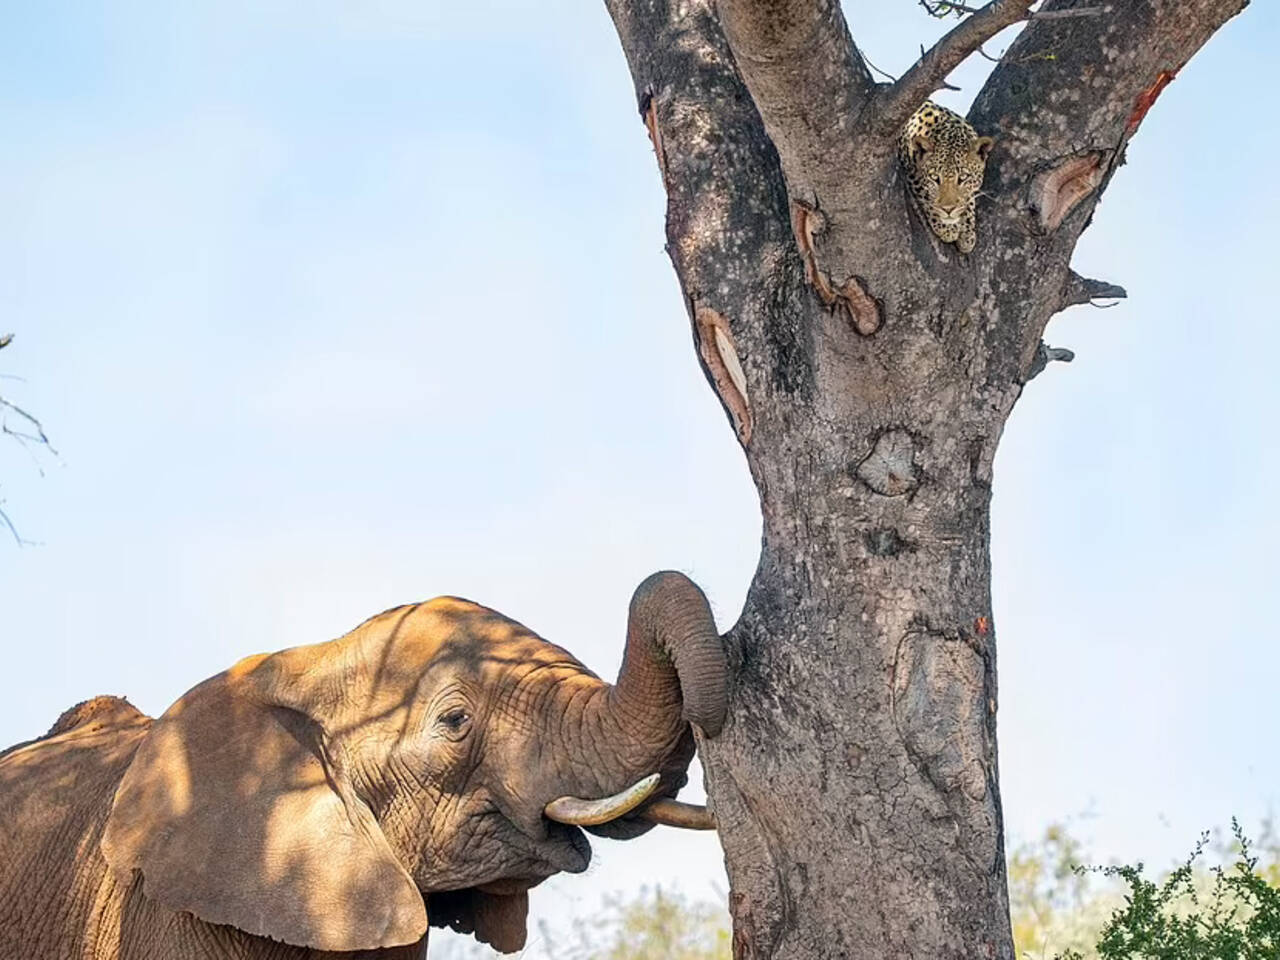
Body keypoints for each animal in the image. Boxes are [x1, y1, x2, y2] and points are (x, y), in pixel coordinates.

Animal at [896, 100, 993, 256]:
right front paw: (947, 228)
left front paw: (967, 233)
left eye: (963, 177)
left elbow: (969, 198)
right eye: (934, 177)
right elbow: (926, 196)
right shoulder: (910, 172)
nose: (948, 210)